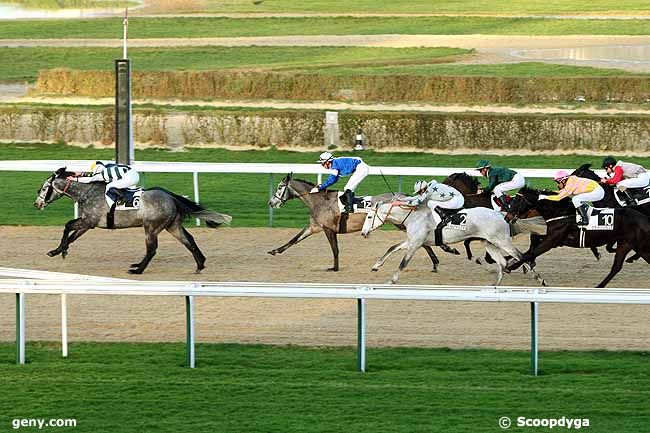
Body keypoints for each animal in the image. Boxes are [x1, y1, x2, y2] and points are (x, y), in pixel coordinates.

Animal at [34, 167, 230, 272]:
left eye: (43, 189)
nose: (37, 204)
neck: (86, 192)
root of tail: (171, 197)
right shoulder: (88, 223)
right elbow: (72, 235)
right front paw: (59, 250)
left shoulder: (90, 221)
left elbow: (68, 226)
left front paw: (61, 250)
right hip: (172, 226)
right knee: (188, 240)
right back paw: (200, 264)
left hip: (151, 227)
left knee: (152, 249)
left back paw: (138, 269)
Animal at [264, 172, 456, 270]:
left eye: (280, 187)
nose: (271, 202)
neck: (319, 201)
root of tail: (403, 196)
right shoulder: (315, 226)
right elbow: (294, 239)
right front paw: (274, 250)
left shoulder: (328, 229)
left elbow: (335, 250)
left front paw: (334, 267)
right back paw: (438, 260)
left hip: (399, 223)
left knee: (423, 241)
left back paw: (443, 253)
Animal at [360, 201, 540, 286]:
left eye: (369, 217)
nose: (363, 233)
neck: (414, 216)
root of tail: (501, 215)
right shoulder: (413, 241)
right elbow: (392, 248)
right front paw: (376, 266)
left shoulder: (415, 244)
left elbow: (403, 262)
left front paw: (392, 280)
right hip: (490, 242)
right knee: (502, 262)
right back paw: (496, 284)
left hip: (501, 241)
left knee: (520, 255)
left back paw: (538, 278)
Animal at [506, 186, 648, 286]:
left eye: (517, 201)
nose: (507, 217)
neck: (561, 212)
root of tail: (643, 217)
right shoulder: (550, 238)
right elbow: (528, 251)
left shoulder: (551, 241)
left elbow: (530, 253)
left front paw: (511, 267)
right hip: (628, 244)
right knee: (618, 266)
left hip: (635, 244)